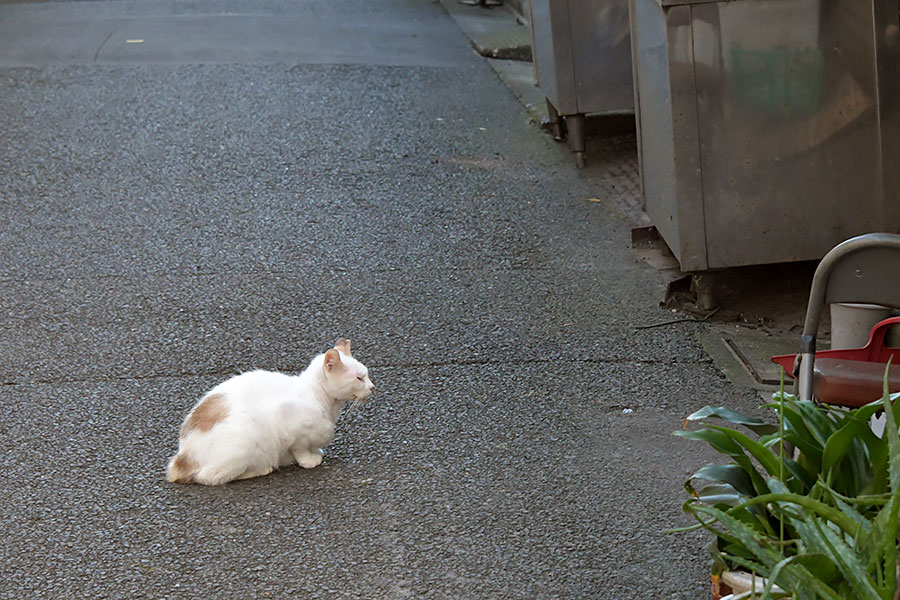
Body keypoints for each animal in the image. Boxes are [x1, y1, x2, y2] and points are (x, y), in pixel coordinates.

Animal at [167, 340, 374, 486]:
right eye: (359, 378)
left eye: (367, 374)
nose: (372, 387)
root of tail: (182, 456)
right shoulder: (292, 429)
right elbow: (300, 449)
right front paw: (309, 460)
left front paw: (315, 452)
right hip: (246, 439)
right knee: (209, 477)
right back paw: (262, 469)